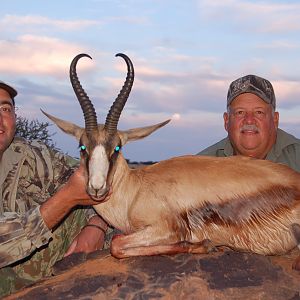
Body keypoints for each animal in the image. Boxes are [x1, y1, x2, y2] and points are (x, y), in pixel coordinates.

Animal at [42, 52, 300, 268]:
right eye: (82, 146)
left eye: (117, 147)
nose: (97, 187)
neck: (135, 190)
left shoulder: (165, 228)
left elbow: (116, 244)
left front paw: (203, 244)